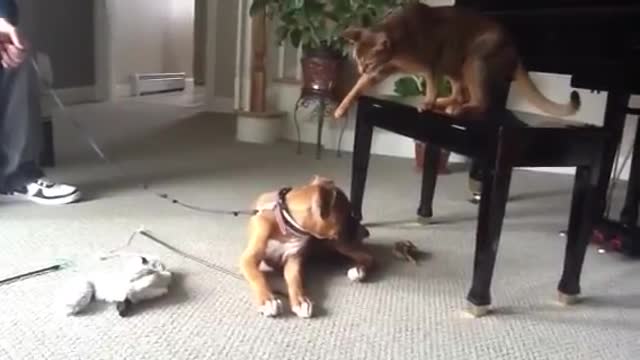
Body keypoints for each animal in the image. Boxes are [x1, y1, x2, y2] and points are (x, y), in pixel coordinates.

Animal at [240, 176, 372, 320]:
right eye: (348, 213)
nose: (365, 231)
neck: (286, 224)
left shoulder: (293, 261)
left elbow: (295, 280)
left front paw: (300, 300)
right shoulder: (248, 259)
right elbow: (258, 276)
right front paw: (267, 300)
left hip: (339, 243)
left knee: (368, 257)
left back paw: (359, 270)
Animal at [336, 1, 580, 119]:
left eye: (366, 63)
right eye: (357, 61)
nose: (361, 69)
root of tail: (515, 50)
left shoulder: (432, 62)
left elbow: (431, 85)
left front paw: (428, 101)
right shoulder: (384, 69)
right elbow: (358, 87)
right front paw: (342, 107)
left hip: (474, 58)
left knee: (482, 102)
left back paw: (456, 108)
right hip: (455, 64)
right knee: (461, 93)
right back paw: (446, 103)